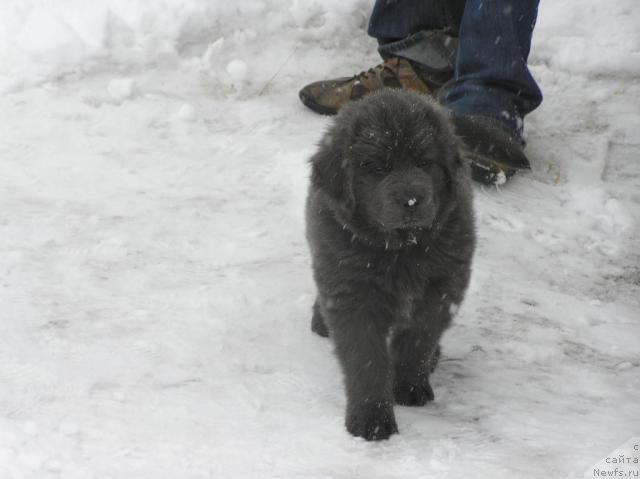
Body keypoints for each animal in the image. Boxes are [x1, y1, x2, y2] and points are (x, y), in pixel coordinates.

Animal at [304, 88, 476, 440]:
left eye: (424, 162)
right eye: (376, 167)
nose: (411, 200)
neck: (400, 249)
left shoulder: (441, 288)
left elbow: (418, 340)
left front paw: (409, 385)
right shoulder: (354, 294)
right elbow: (367, 359)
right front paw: (371, 419)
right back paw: (320, 321)